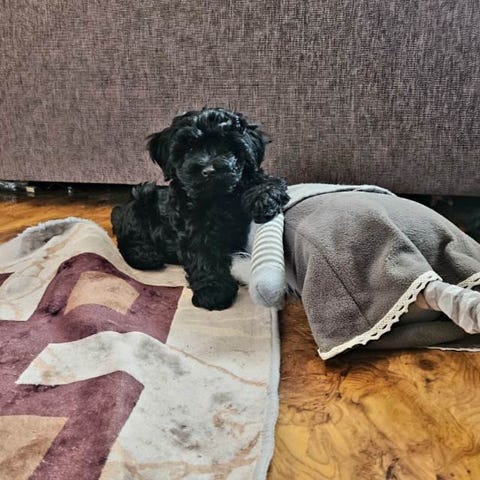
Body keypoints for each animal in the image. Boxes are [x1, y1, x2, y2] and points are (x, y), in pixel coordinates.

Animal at [111, 107, 289, 310]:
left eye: (227, 147)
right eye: (189, 149)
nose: (209, 171)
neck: (216, 198)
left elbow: (268, 180)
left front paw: (264, 199)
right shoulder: (193, 227)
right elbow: (204, 255)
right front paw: (214, 291)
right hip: (142, 198)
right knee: (129, 238)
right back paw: (145, 256)